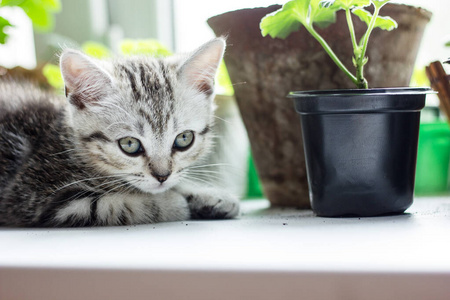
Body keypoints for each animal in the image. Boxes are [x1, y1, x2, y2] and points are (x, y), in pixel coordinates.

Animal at [0, 37, 241, 226]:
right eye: (129, 145)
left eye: (184, 139)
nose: (162, 176)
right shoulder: (38, 197)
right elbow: (116, 204)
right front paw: (174, 202)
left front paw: (209, 196)